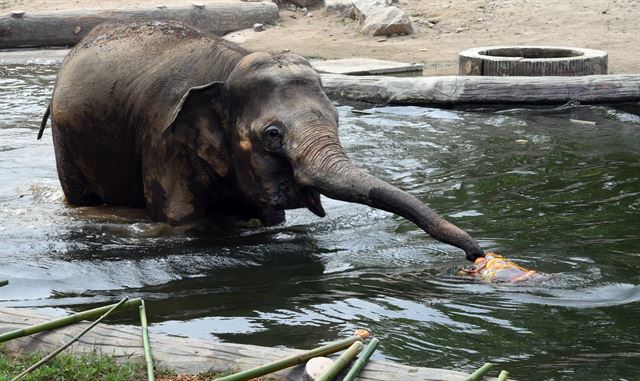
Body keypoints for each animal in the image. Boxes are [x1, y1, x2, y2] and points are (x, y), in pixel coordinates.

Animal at [38, 20, 484, 262]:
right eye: (272, 136)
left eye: (338, 120)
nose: (478, 254)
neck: (230, 64)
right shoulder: (161, 139)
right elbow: (181, 221)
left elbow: (270, 220)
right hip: (64, 138)